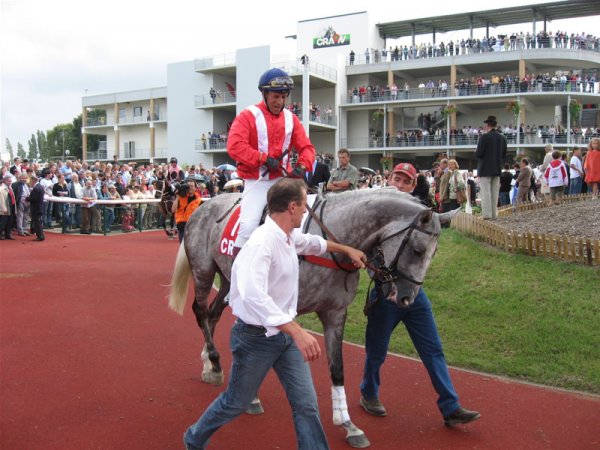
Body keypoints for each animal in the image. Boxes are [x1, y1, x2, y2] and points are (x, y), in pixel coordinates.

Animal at [169, 187, 454, 446]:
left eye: (434, 253)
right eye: (417, 250)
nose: (407, 298)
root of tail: (203, 206)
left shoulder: (335, 314)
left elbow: (337, 369)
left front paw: (348, 424)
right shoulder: (282, 307)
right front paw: (252, 396)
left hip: (228, 280)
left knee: (214, 315)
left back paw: (209, 361)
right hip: (204, 271)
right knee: (201, 312)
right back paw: (215, 361)